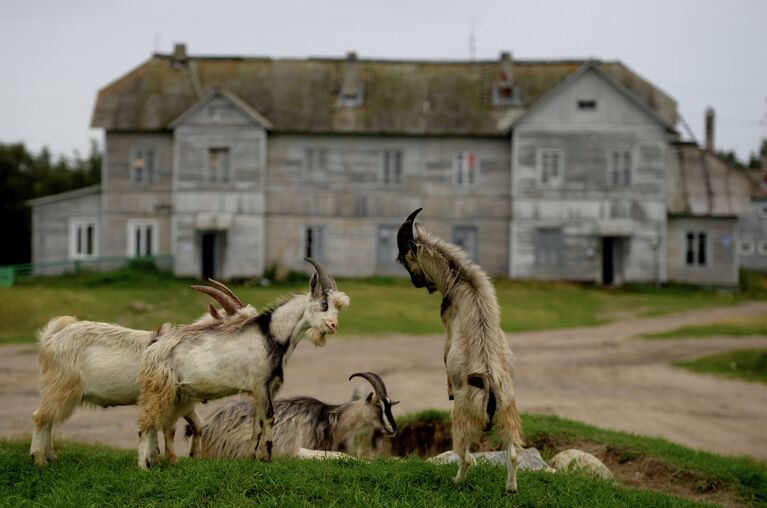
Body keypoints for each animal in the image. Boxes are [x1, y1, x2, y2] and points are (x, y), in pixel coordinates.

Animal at [136, 260, 350, 470]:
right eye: (324, 303)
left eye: (338, 307)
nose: (334, 326)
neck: (270, 335)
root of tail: (153, 348)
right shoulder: (260, 384)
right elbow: (270, 417)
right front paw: (266, 456)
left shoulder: (266, 388)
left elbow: (257, 421)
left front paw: (250, 456)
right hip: (160, 390)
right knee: (146, 424)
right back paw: (144, 466)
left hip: (178, 395)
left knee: (162, 424)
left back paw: (161, 461)